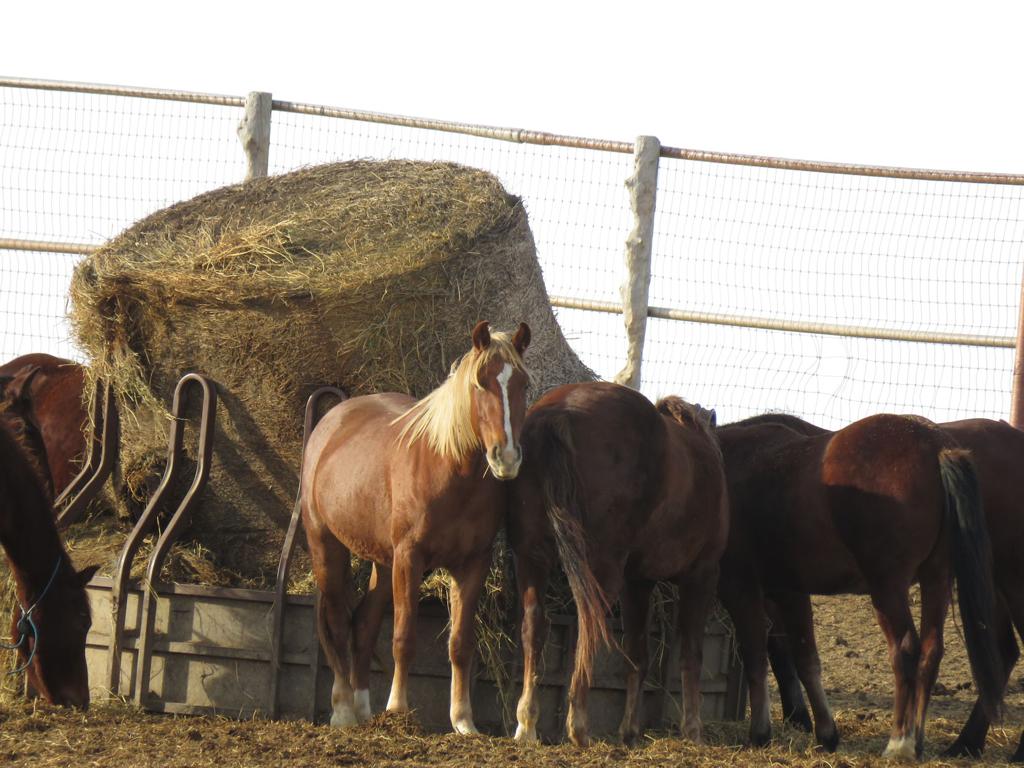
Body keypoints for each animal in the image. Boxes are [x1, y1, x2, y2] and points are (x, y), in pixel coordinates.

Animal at [300, 321, 530, 732]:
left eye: (524, 385)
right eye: (480, 383)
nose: (505, 457)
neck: (450, 470)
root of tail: (331, 423)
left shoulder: (473, 563)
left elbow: (460, 643)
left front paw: (463, 721)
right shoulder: (410, 557)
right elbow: (403, 638)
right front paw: (398, 709)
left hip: (383, 561)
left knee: (363, 624)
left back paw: (363, 710)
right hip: (327, 547)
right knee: (337, 623)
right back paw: (343, 710)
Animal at [508, 383, 728, 747]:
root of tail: (562, 409)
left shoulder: (637, 582)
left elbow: (637, 655)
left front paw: (629, 730)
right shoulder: (702, 575)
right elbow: (690, 655)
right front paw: (692, 729)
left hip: (531, 557)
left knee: (533, 625)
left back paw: (527, 724)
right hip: (600, 569)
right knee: (589, 626)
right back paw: (578, 726)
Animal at [715, 412, 1003, 759]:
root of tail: (934, 444)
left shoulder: (740, 588)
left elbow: (756, 656)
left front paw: (760, 732)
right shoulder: (789, 591)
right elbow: (804, 657)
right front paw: (825, 733)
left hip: (887, 588)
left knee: (906, 651)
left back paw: (899, 741)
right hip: (937, 577)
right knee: (931, 651)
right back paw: (916, 741)